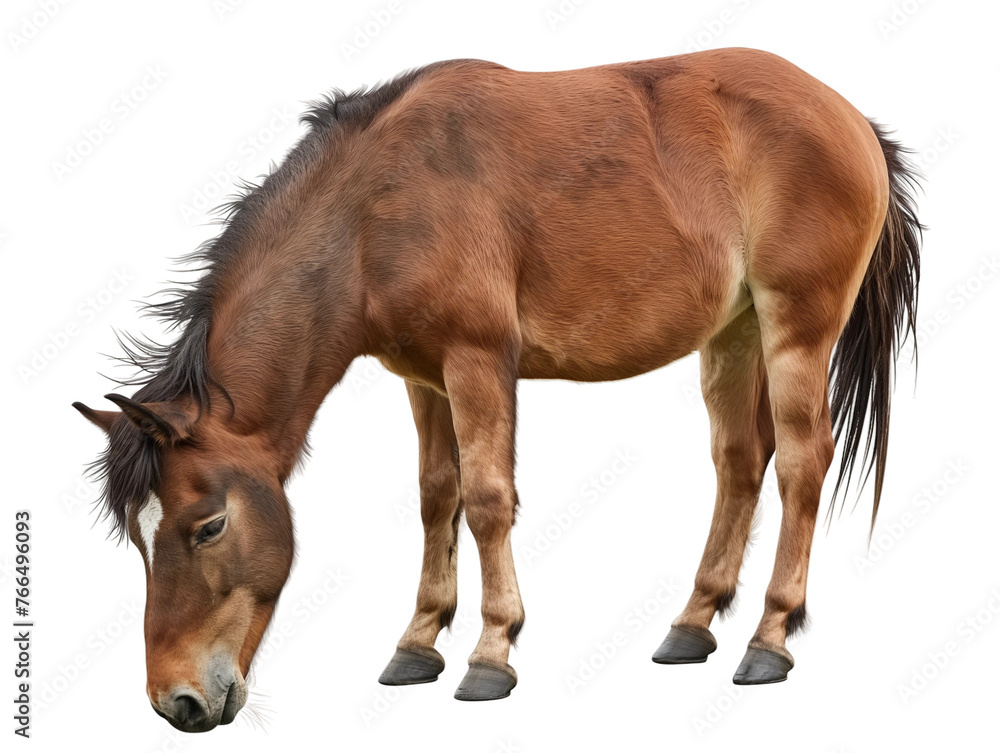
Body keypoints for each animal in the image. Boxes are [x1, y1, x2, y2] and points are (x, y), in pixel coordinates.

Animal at [74, 48, 921, 731]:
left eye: (209, 526)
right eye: (137, 538)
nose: (177, 701)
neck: (374, 209)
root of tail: (851, 118)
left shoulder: (477, 359)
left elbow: (485, 499)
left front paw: (490, 652)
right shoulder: (423, 377)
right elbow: (436, 496)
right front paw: (418, 641)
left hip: (796, 326)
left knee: (801, 464)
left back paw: (770, 637)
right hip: (734, 331)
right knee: (740, 462)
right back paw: (693, 624)